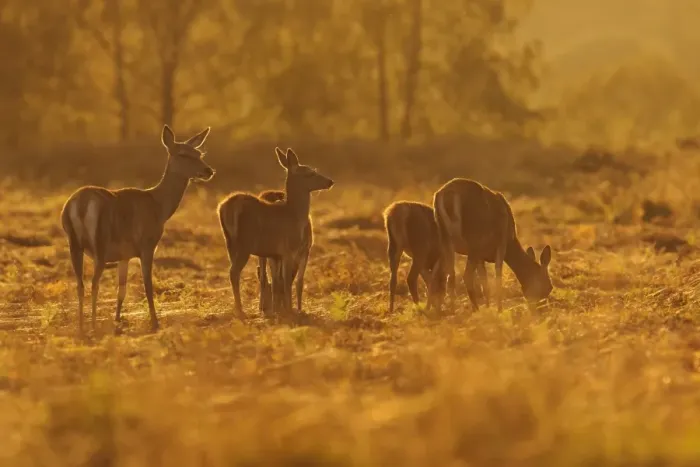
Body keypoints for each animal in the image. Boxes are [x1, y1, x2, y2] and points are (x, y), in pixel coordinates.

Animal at [60, 125, 215, 336]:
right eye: (183, 154)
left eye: (199, 153)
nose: (208, 170)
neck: (159, 208)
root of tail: (80, 205)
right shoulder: (147, 245)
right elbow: (147, 285)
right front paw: (155, 322)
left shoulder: (124, 255)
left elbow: (121, 289)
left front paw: (118, 320)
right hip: (100, 241)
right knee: (93, 282)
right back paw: (93, 325)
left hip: (74, 243)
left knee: (80, 284)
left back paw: (82, 327)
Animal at [217, 147, 333, 318]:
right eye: (310, 173)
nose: (330, 181)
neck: (294, 215)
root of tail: (227, 208)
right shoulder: (288, 250)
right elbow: (286, 281)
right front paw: (290, 311)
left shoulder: (275, 254)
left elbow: (277, 282)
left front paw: (280, 309)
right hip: (245, 244)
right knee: (234, 272)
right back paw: (241, 310)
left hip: (230, 243)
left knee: (238, 273)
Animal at [431, 178, 552, 314]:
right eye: (549, 286)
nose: (543, 308)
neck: (511, 243)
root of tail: (448, 195)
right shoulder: (501, 244)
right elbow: (497, 276)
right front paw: (499, 310)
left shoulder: (481, 256)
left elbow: (485, 282)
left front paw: (488, 307)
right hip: (473, 241)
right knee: (465, 275)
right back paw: (475, 309)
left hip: (445, 239)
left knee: (447, 275)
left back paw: (451, 311)